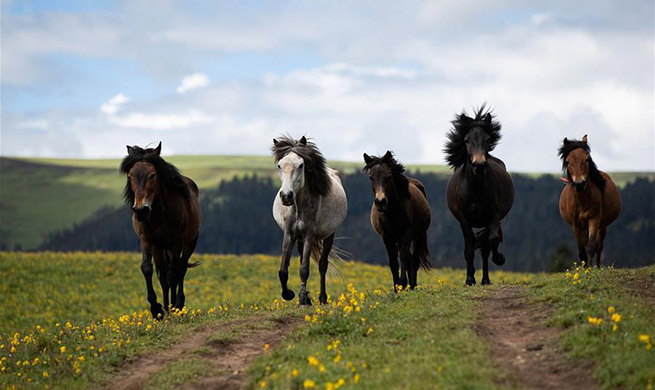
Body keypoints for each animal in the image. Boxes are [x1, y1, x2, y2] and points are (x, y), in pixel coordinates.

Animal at [118, 142, 200, 318]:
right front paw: (157, 310)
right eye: (130, 176)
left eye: (152, 175)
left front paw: (174, 308)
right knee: (164, 275)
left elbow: (173, 275)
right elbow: (147, 269)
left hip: (189, 242)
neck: (160, 214)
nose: (141, 210)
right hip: (161, 248)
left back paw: (178, 304)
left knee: (180, 269)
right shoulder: (148, 240)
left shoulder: (177, 242)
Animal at [272, 136, 348, 306]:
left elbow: (304, 269)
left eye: (301, 165)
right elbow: (283, 270)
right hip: (299, 239)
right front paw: (290, 295)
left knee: (322, 265)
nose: (286, 196)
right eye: (280, 165)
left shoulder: (309, 235)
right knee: (302, 258)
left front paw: (301, 299)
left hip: (328, 235)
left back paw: (322, 298)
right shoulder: (289, 234)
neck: (299, 207)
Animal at [362, 150, 434, 290]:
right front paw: (397, 288)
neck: (393, 212)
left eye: (389, 176)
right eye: (371, 177)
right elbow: (393, 262)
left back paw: (412, 286)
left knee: (414, 260)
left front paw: (403, 283)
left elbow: (404, 258)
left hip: (418, 235)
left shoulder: (407, 233)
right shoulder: (387, 236)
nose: (381, 202)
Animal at [444, 106, 516, 286]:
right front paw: (470, 279)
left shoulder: (493, 215)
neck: (475, 188)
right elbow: (469, 248)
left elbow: (492, 241)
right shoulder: (464, 220)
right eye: (467, 140)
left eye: (488, 139)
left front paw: (499, 259)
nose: (479, 165)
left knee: (485, 248)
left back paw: (486, 279)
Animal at [560, 136, 624, 266]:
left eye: (586, 159)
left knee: (599, 246)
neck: (582, 200)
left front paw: (590, 268)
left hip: (603, 225)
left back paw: (598, 266)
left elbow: (590, 247)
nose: (579, 184)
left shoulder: (594, 220)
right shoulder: (576, 225)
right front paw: (584, 268)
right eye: (568, 161)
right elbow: (581, 250)